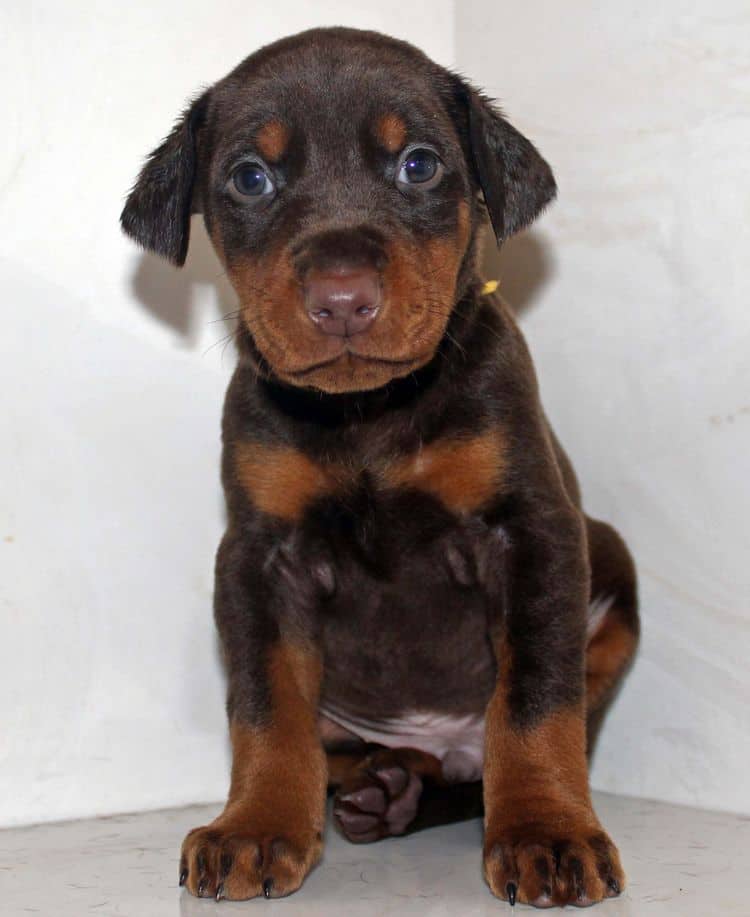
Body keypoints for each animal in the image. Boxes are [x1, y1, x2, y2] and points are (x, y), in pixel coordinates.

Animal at [122, 26, 640, 908]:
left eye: (420, 165)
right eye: (250, 177)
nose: (341, 298)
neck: (367, 412)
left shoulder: (533, 532)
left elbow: (535, 697)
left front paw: (545, 831)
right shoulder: (259, 559)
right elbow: (266, 705)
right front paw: (256, 823)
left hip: (610, 563)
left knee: (505, 738)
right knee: (347, 749)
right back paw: (385, 783)